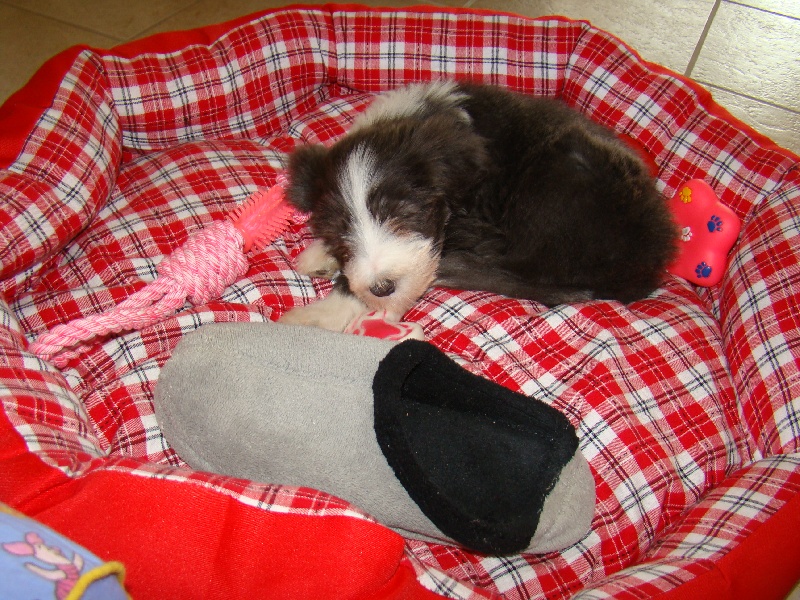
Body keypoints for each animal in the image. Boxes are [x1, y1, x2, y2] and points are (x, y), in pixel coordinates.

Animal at [279, 80, 678, 332]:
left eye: (405, 215)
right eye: (340, 233)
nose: (380, 287)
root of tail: (647, 265)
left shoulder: (476, 225)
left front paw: (319, 315)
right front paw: (321, 255)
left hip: (562, 174)